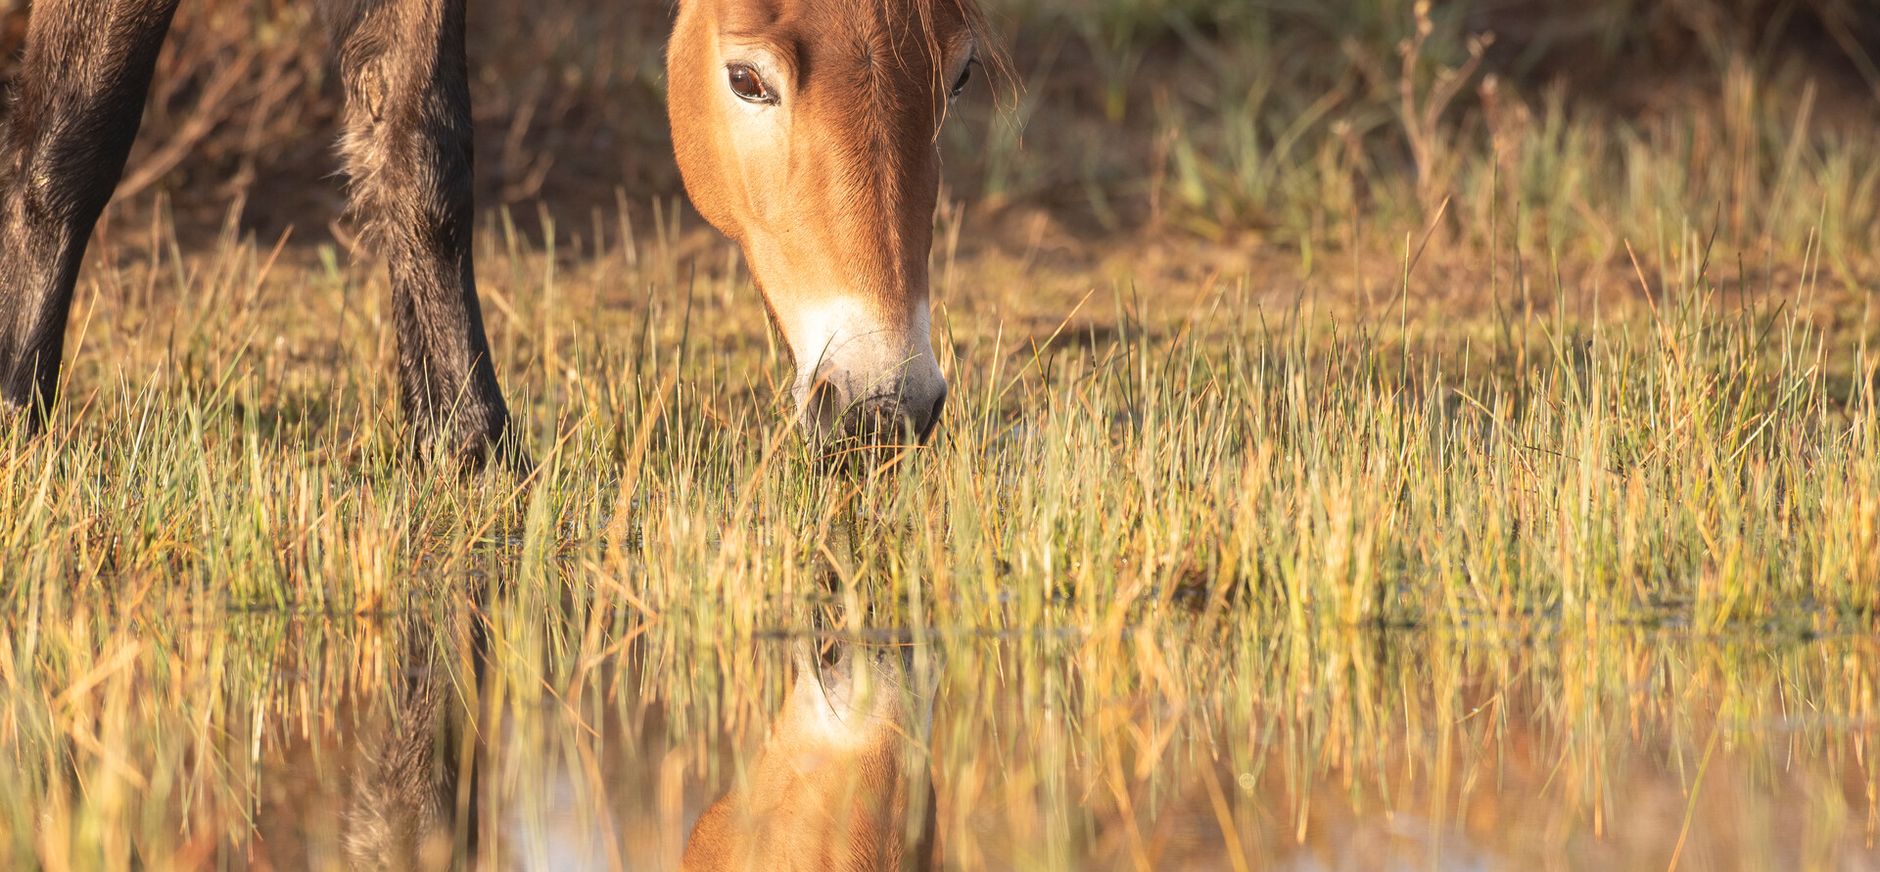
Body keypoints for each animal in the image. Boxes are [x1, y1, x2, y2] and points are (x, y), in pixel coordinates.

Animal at [0, 0, 993, 464]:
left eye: (961, 78)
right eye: (747, 80)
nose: (886, 403)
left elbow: (418, 150)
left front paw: (466, 447)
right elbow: (76, 134)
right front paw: (15, 412)